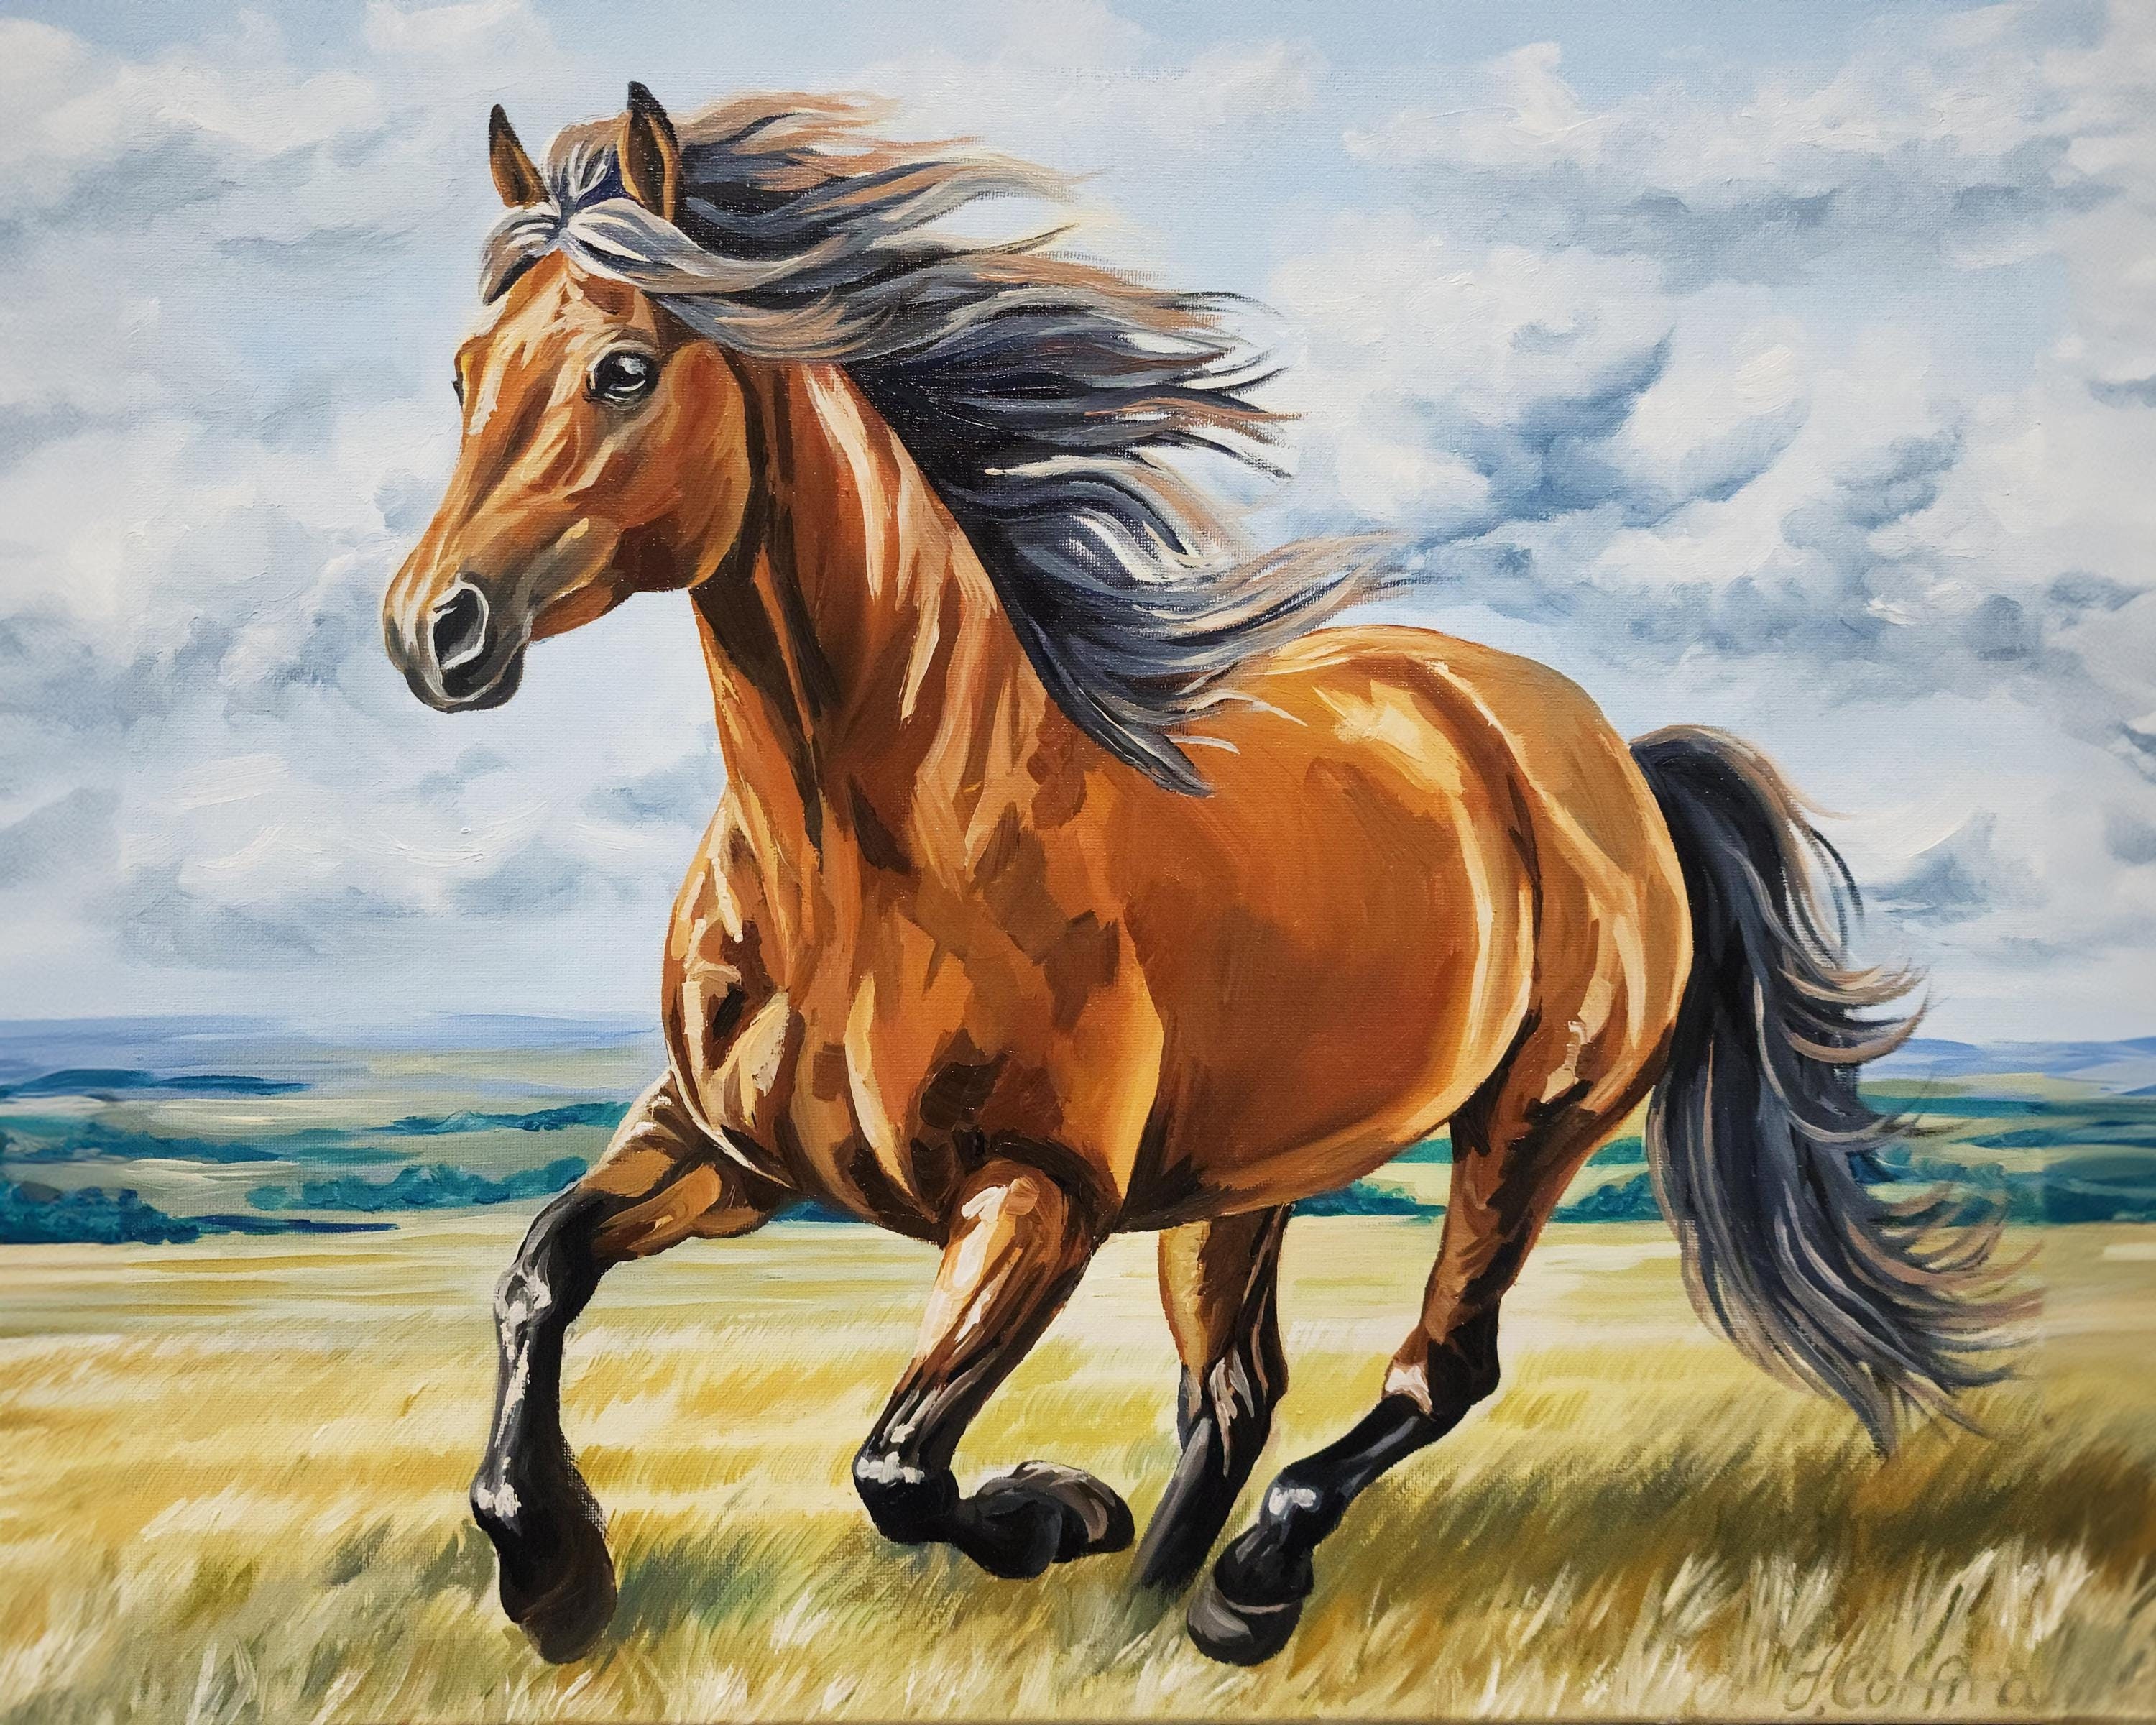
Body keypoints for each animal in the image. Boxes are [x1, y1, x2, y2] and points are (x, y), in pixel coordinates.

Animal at [381, 85, 2018, 1667]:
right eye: (464, 372)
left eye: (622, 372)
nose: (432, 631)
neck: (871, 857)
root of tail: (1609, 750)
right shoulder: (722, 1152)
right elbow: (539, 1274)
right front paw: (552, 1571)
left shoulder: (1038, 1200)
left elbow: (900, 1464)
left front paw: (1056, 1514)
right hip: (1248, 1181)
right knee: (1234, 1389)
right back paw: (1143, 1612)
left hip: (1532, 1123)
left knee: (1433, 1368)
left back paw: (1242, 1588)